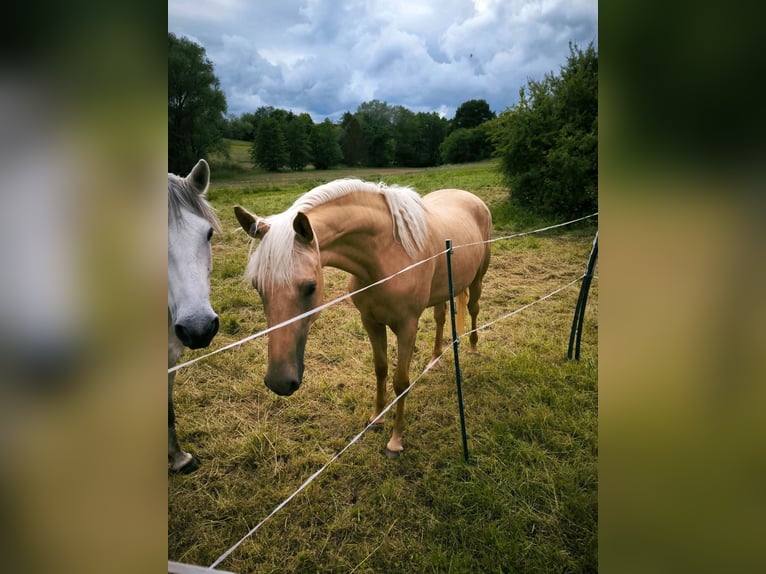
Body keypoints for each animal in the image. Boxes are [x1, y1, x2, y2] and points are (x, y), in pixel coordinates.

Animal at [234, 180, 492, 460]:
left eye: (310, 287)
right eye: (257, 286)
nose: (279, 382)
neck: (387, 255)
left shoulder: (407, 327)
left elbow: (401, 382)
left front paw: (395, 441)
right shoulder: (370, 321)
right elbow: (380, 369)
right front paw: (376, 418)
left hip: (478, 278)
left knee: (473, 308)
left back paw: (473, 347)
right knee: (441, 316)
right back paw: (434, 359)